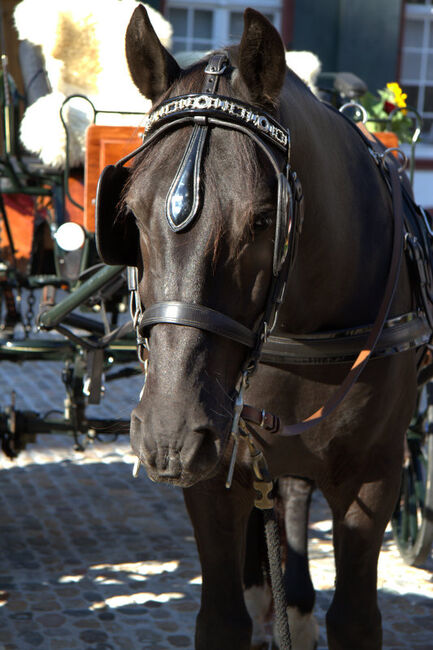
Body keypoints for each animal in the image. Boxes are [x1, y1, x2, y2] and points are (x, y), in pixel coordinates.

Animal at [98, 6, 426, 648]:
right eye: (130, 216)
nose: (168, 435)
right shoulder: (212, 476)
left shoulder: (376, 476)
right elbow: (221, 618)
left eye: (263, 220)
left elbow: (355, 619)